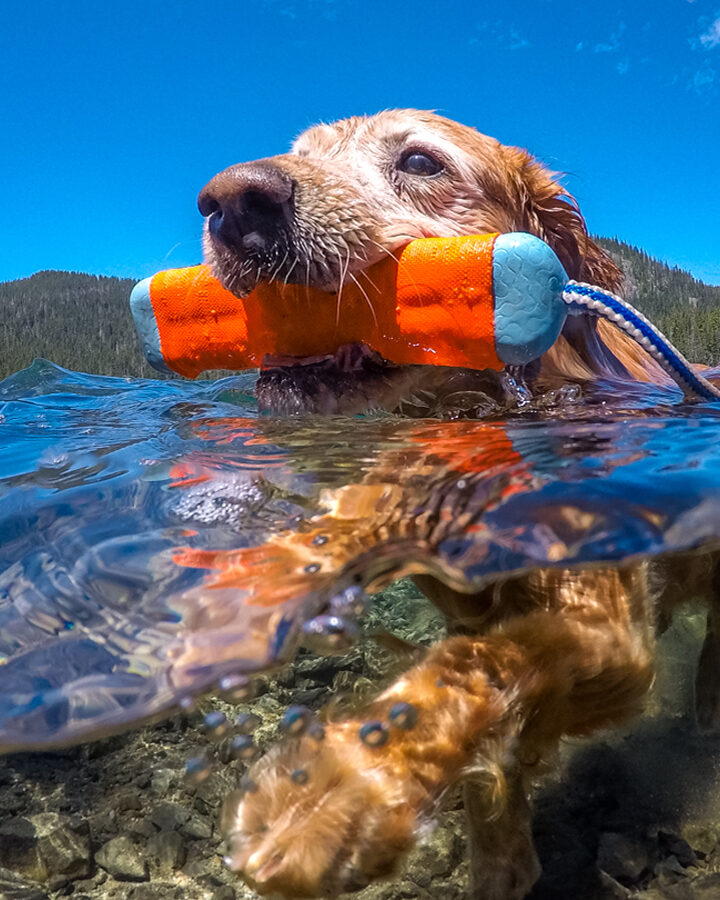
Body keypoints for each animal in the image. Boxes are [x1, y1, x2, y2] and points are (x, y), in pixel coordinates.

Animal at [194, 114, 716, 900]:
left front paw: (335, 793)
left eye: (419, 162)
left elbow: (482, 664)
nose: (231, 201)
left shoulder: (610, 636)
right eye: (302, 152)